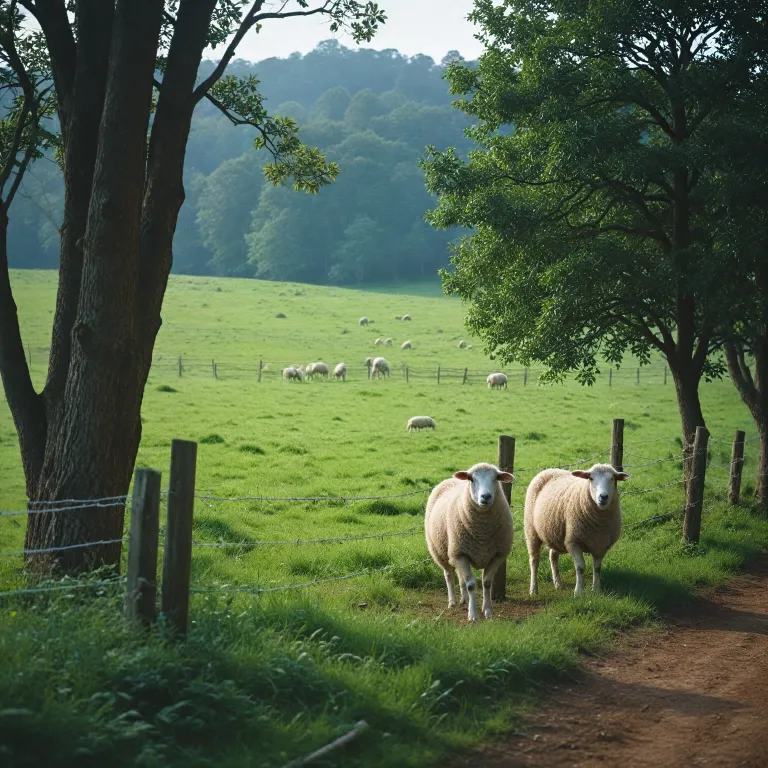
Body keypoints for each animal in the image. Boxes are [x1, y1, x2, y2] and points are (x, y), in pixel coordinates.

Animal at [425, 463, 514, 622]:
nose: (486, 496)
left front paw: (488, 610)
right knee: (449, 575)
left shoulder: (497, 555)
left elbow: (487, 583)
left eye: (496, 478)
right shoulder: (461, 553)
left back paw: (464, 599)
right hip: (441, 551)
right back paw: (452, 601)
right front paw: (472, 615)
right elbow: (471, 584)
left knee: (461, 578)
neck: (482, 531)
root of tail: (450, 479)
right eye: (471, 479)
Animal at [524, 463, 631, 598]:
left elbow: (597, 567)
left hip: (554, 532)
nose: (603, 497)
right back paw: (533, 589)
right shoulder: (573, 542)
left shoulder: (602, 545)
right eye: (591, 478)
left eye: (612, 479)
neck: (598, 524)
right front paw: (579, 592)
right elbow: (580, 567)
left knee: (553, 557)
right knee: (534, 560)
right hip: (531, 531)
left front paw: (596, 589)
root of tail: (550, 469)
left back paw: (558, 583)